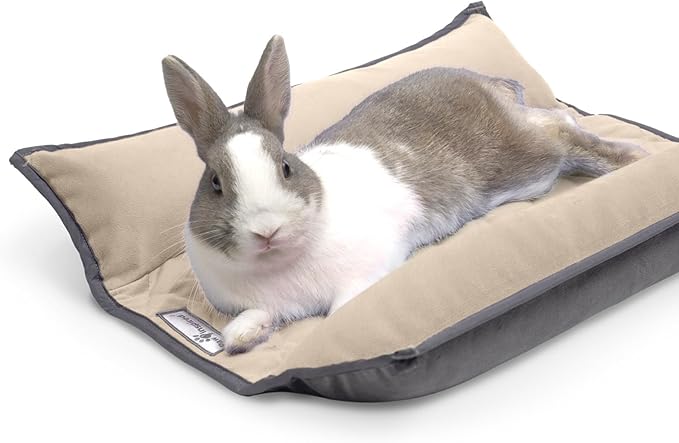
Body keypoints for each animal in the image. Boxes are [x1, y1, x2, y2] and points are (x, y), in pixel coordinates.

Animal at [162, 35, 647, 354]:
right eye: (215, 183)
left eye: (285, 166)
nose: (267, 230)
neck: (278, 263)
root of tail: (490, 84)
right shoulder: (264, 305)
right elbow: (248, 322)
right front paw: (241, 339)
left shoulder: (365, 276)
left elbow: (340, 314)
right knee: (557, 120)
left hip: (526, 165)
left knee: (562, 130)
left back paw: (634, 157)